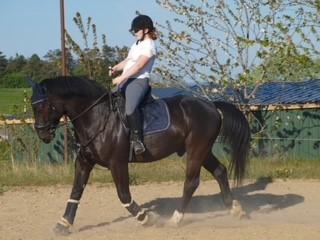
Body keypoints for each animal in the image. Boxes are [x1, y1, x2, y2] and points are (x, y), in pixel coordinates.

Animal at [29, 76, 250, 234]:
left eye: (42, 106)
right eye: (32, 105)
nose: (42, 134)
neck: (97, 118)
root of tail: (212, 106)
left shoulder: (117, 163)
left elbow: (123, 194)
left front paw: (147, 218)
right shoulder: (84, 162)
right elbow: (75, 192)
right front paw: (63, 224)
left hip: (197, 149)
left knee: (191, 182)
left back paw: (175, 218)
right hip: (203, 150)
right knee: (220, 171)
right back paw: (235, 209)